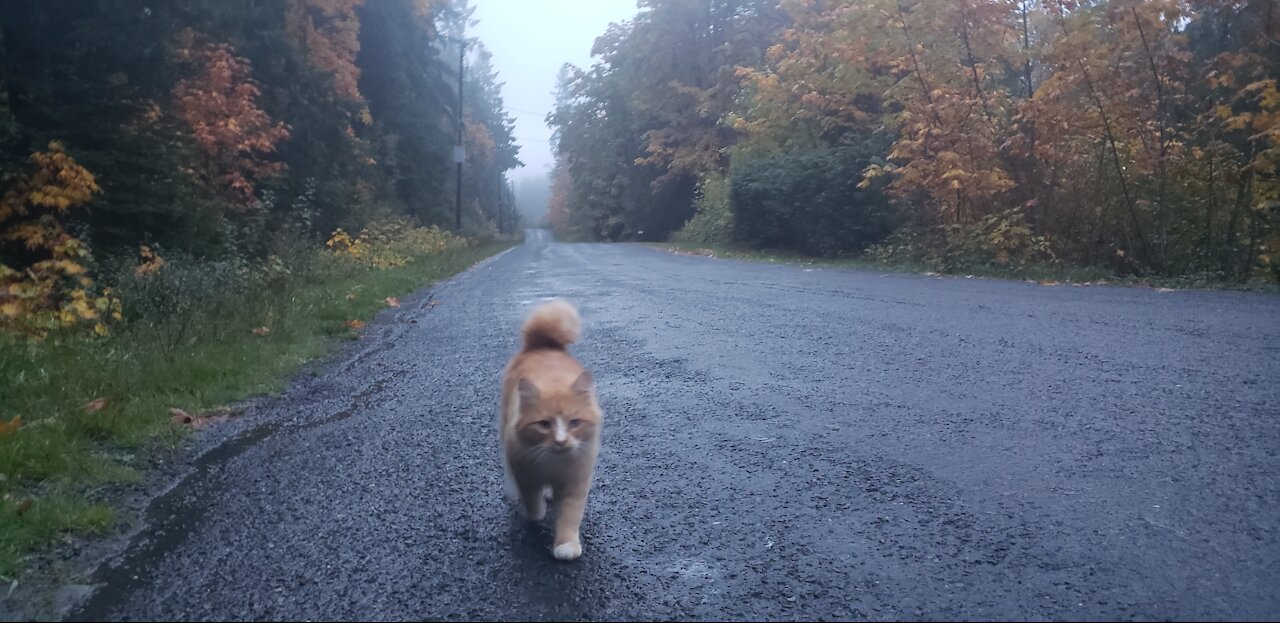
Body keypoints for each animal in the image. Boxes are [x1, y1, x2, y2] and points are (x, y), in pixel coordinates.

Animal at [496, 298, 601, 560]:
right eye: (544, 424)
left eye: (574, 423)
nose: (561, 441)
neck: (554, 464)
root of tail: (543, 344)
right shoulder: (526, 473)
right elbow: (533, 504)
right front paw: (536, 514)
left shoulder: (576, 481)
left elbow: (569, 516)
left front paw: (566, 546)